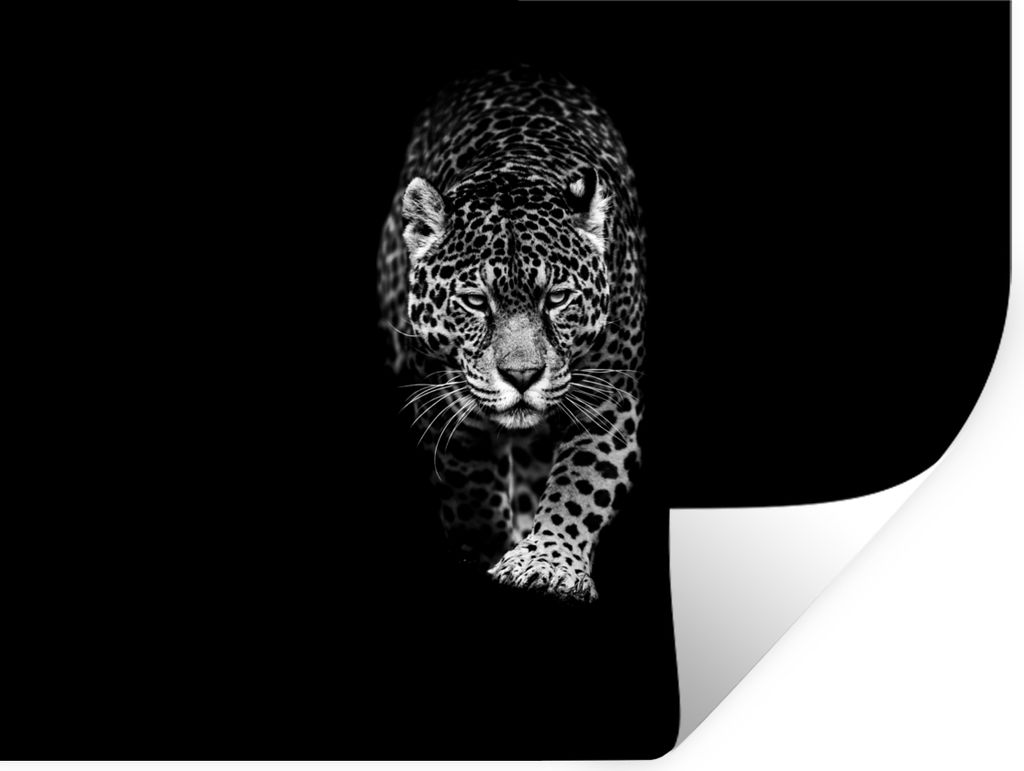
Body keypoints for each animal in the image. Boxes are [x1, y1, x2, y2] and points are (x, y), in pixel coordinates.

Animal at [376, 65, 646, 602]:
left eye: (557, 299)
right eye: (476, 302)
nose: (522, 376)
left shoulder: (608, 399)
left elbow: (582, 483)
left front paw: (548, 563)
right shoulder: (441, 401)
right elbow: (469, 485)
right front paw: (483, 550)